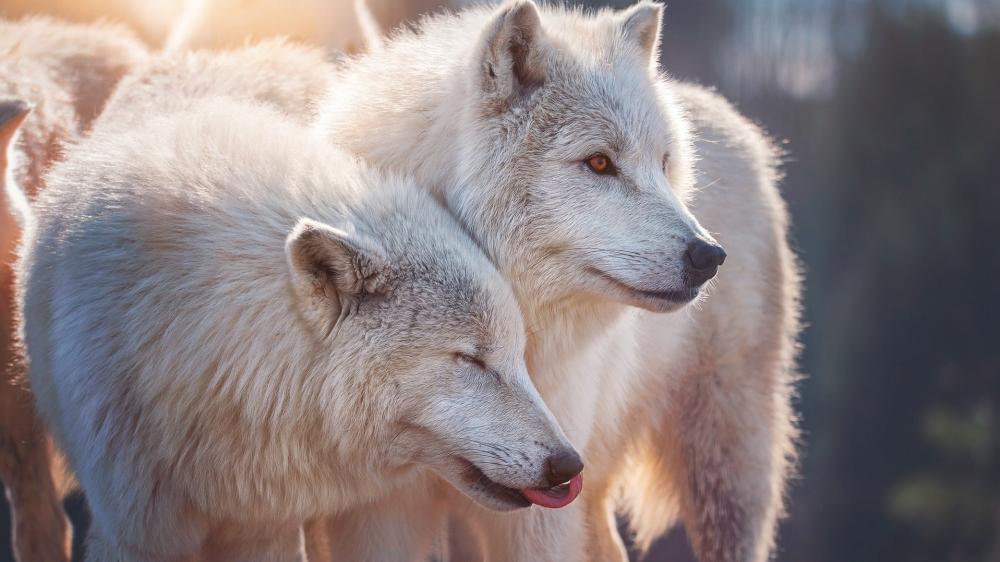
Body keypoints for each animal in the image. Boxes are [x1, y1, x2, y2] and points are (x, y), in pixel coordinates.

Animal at [312, 1, 801, 561]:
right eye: (599, 162)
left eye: (663, 164)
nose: (710, 256)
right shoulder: (379, 512)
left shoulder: (543, 506)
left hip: (724, 468)